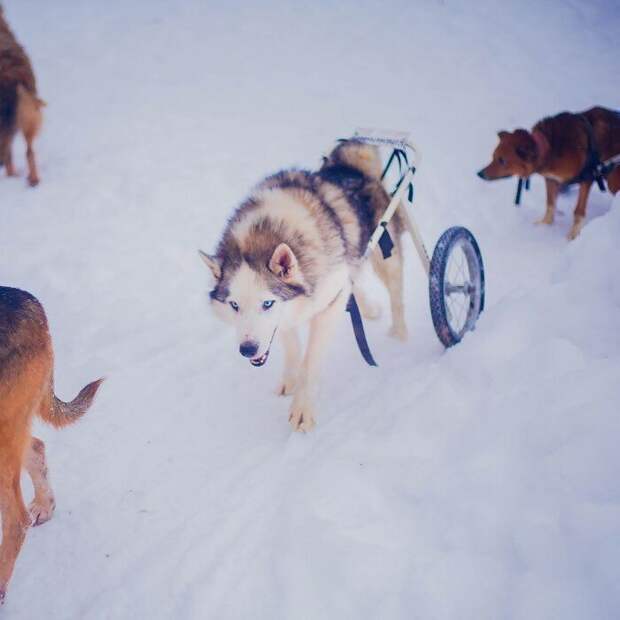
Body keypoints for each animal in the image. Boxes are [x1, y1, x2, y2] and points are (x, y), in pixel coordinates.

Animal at [201, 140, 410, 432]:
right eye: (234, 305)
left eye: (267, 303)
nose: (247, 349)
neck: (264, 232)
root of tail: (350, 166)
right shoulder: (289, 314)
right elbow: (291, 347)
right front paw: (291, 378)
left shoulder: (327, 307)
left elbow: (310, 361)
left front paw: (302, 408)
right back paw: (367, 308)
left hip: (385, 257)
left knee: (396, 296)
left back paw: (400, 336)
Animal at [480, 108, 620, 239]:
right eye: (493, 157)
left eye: (502, 161)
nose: (480, 174)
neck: (550, 147)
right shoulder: (551, 179)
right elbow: (550, 204)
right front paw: (545, 224)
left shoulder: (588, 178)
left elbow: (578, 211)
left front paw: (573, 234)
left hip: (612, 181)